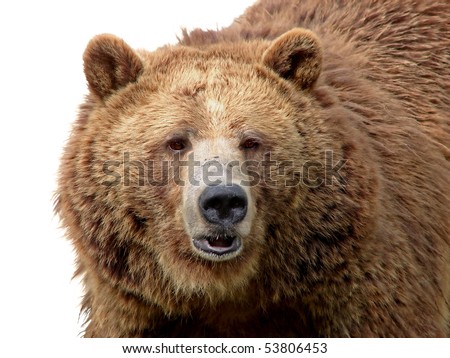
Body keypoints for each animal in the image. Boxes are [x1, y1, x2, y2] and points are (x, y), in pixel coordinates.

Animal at [56, 0, 450, 338]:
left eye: (251, 141)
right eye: (176, 141)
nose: (223, 201)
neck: (227, 289)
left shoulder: (360, 286)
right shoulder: (137, 310)